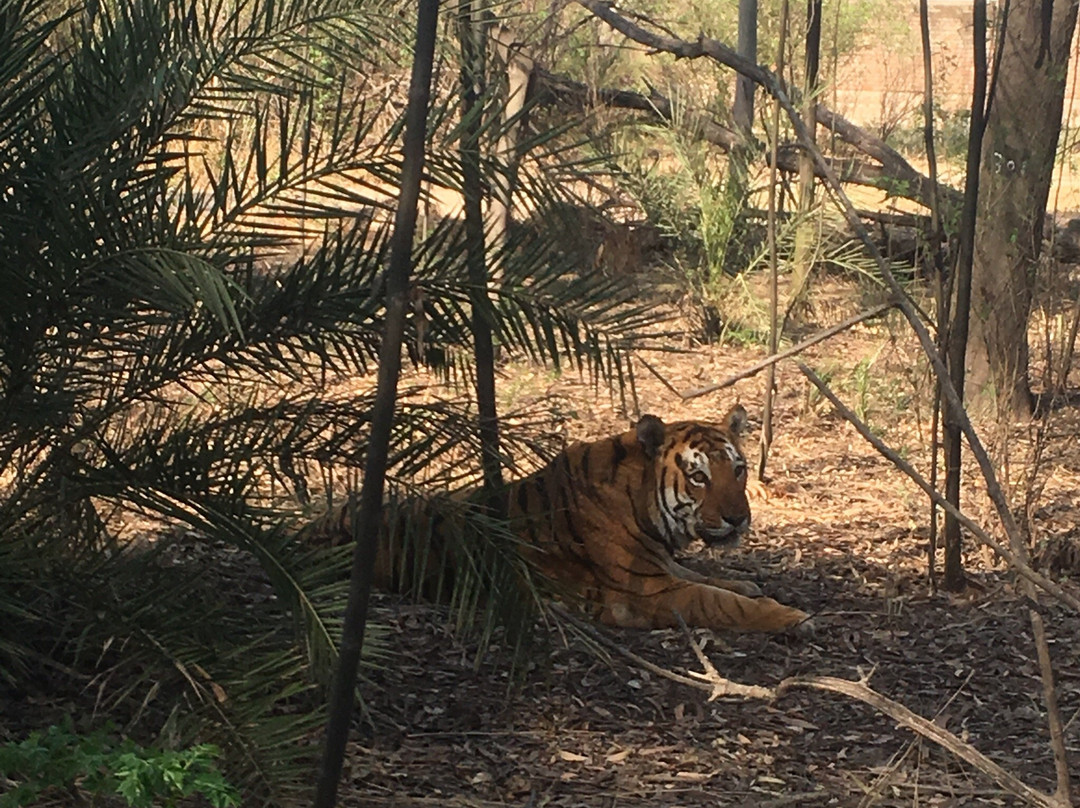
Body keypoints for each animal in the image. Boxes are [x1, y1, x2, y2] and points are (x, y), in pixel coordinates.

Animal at [313, 406, 812, 635]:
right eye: (698, 477)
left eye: (739, 469)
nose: (738, 519)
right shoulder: (647, 593)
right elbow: (720, 602)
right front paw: (792, 615)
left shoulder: (664, 568)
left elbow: (710, 578)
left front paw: (746, 583)